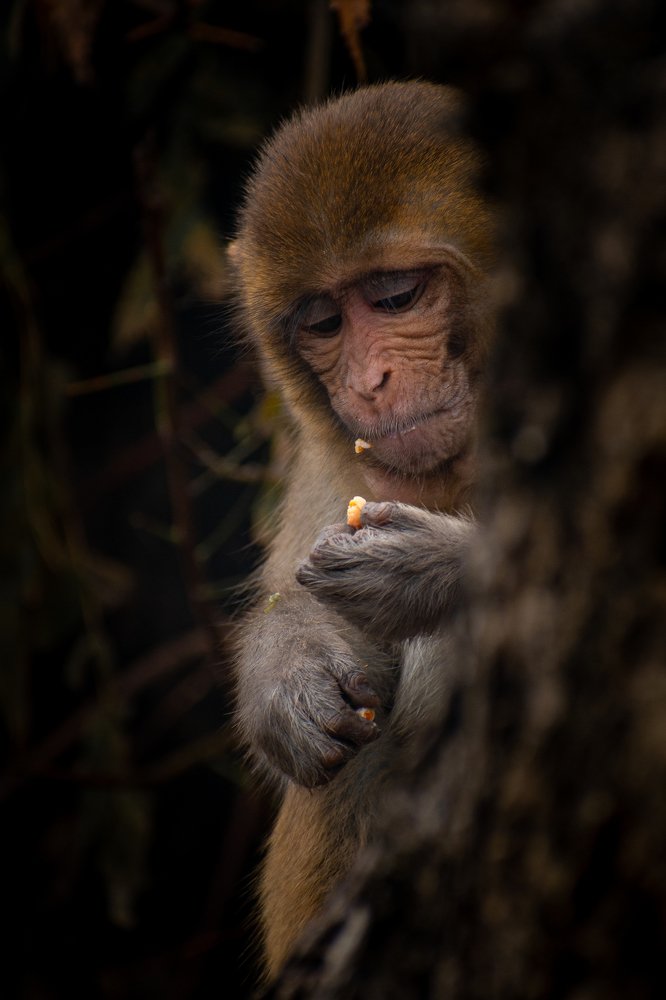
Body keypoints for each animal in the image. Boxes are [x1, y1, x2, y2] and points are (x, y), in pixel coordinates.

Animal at [229, 81, 494, 979]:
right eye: (322, 322)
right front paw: (287, 670)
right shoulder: (332, 453)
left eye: (394, 297)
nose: (369, 383)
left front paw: (431, 568)